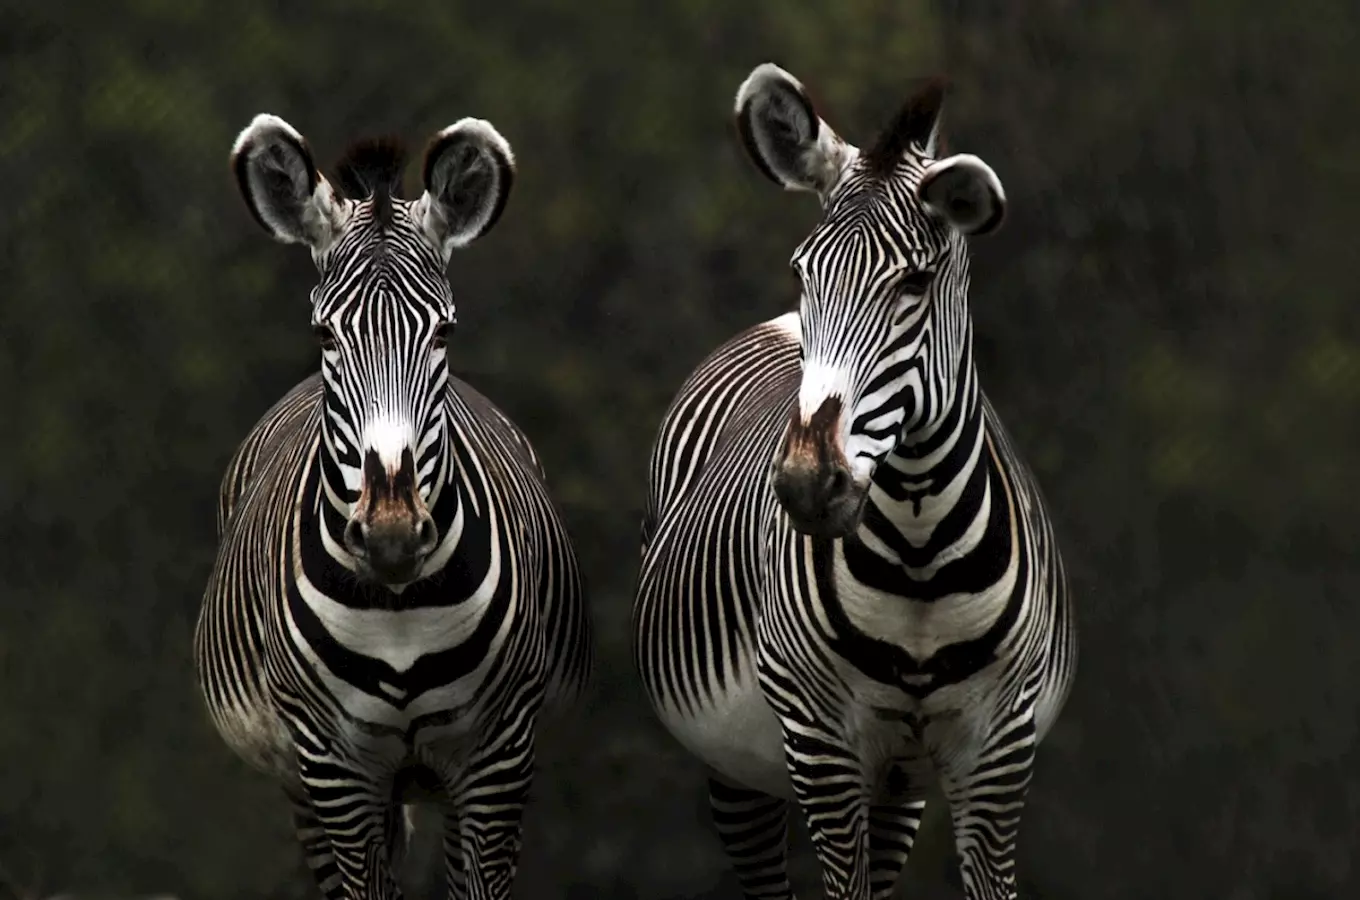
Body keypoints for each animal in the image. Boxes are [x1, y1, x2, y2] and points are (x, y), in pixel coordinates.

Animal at [195, 112, 590, 900]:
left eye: (444, 331)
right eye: (325, 333)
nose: (392, 534)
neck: (399, 613)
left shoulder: (497, 756)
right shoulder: (333, 768)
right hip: (307, 785)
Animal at [631, 65, 1077, 900]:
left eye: (916, 284)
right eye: (803, 271)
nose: (808, 484)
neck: (920, 556)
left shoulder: (997, 748)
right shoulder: (820, 744)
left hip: (900, 785)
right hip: (736, 764)